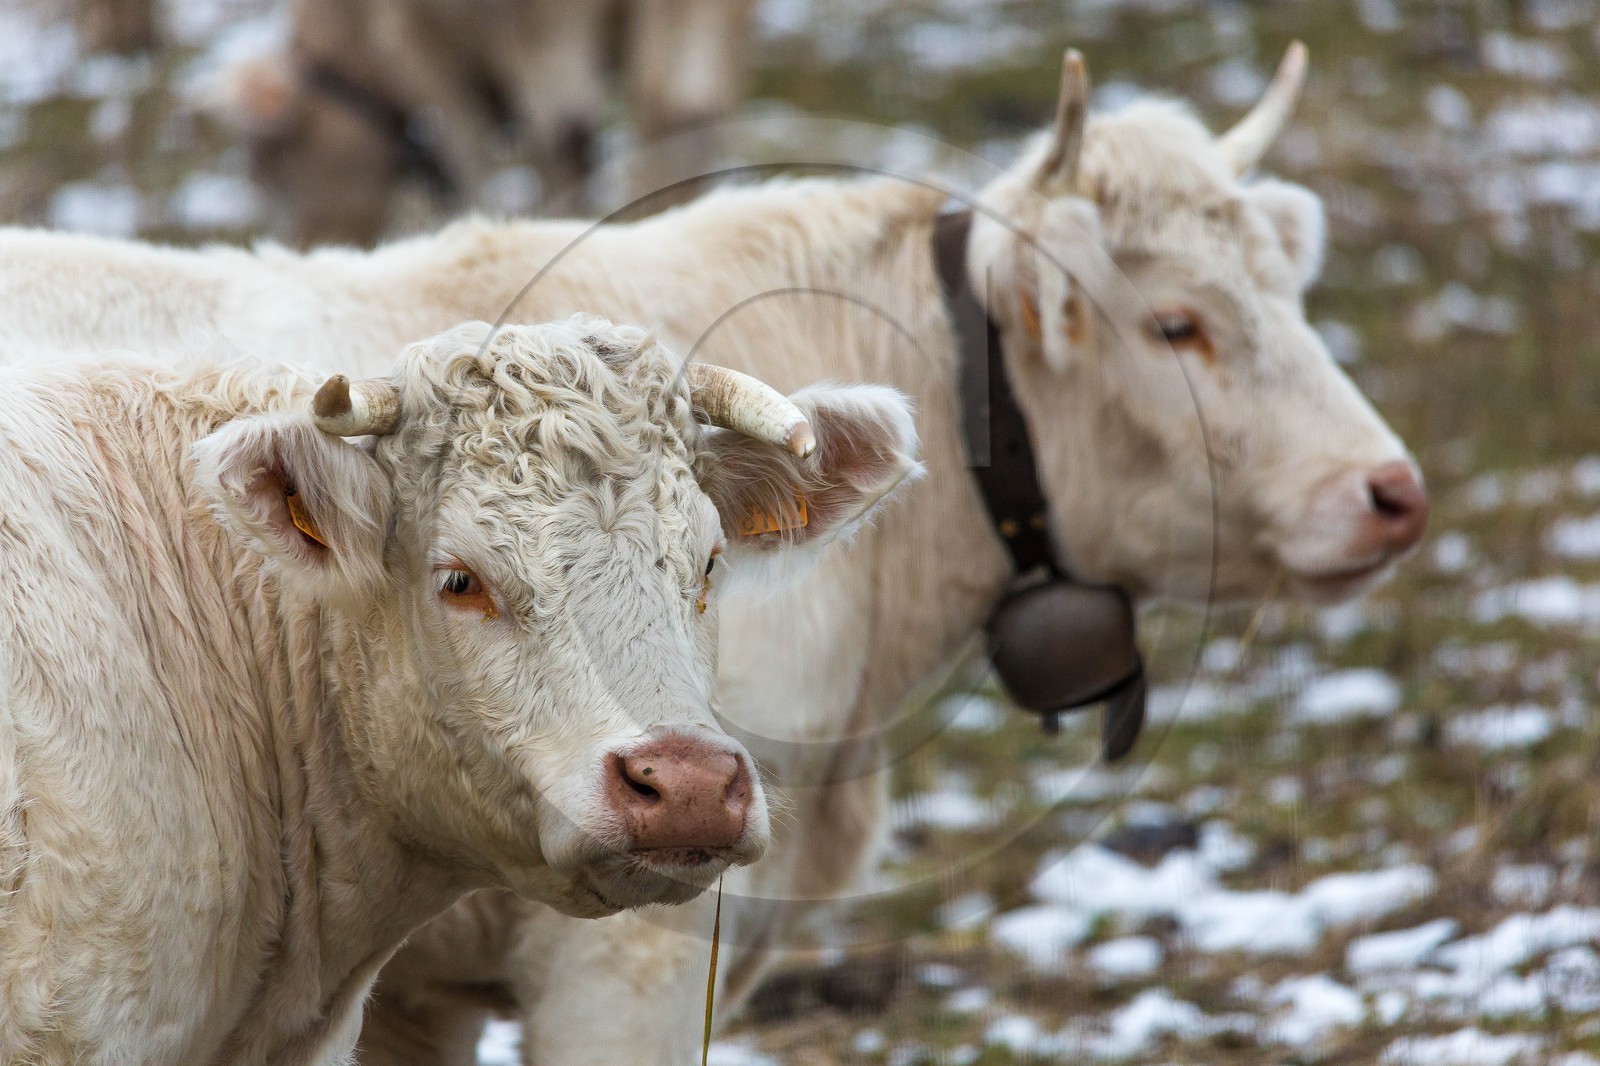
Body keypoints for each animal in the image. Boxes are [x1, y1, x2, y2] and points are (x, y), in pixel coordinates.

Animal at [215, 0, 754, 244]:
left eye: (275, 163)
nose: (304, 245)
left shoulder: (419, 44)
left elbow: (468, 151)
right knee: (682, 111)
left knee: (563, 136)